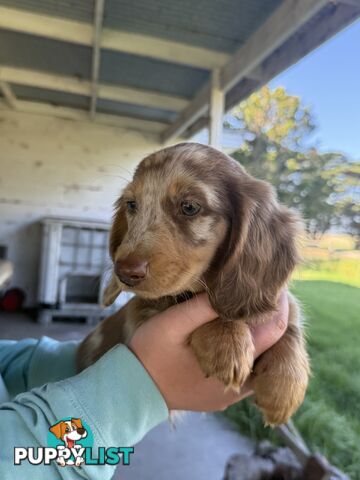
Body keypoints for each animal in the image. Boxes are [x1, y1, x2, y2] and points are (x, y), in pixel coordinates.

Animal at [76, 143, 310, 428]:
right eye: (132, 204)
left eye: (189, 207)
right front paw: (226, 338)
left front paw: (285, 389)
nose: (124, 272)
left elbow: (291, 326)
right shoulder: (146, 311)